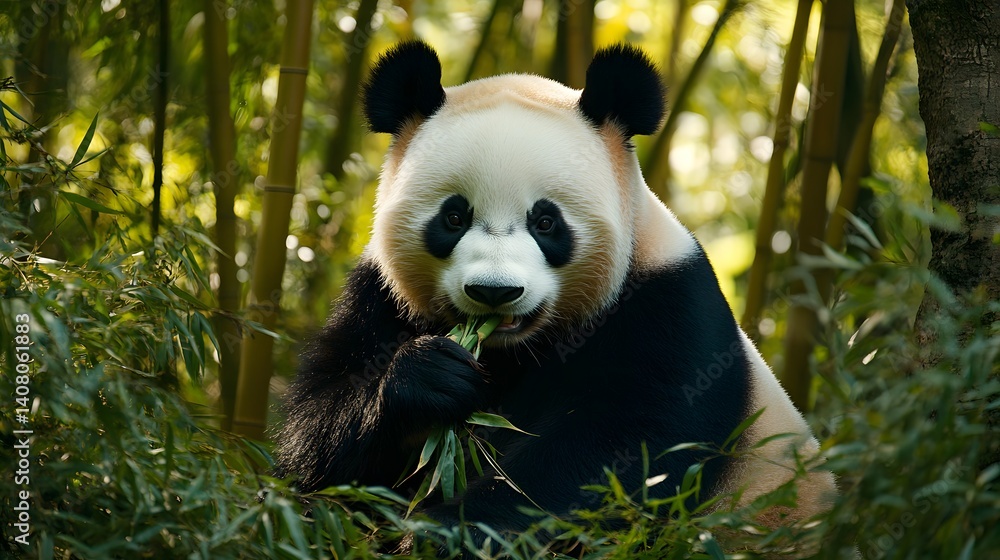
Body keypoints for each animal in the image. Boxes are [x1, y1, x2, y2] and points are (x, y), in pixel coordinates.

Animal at [275, 40, 836, 548]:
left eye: (546, 222)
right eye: (453, 217)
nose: (494, 291)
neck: (514, 349)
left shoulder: (670, 309)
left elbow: (618, 452)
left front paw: (451, 530)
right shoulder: (381, 297)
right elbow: (318, 437)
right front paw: (430, 375)